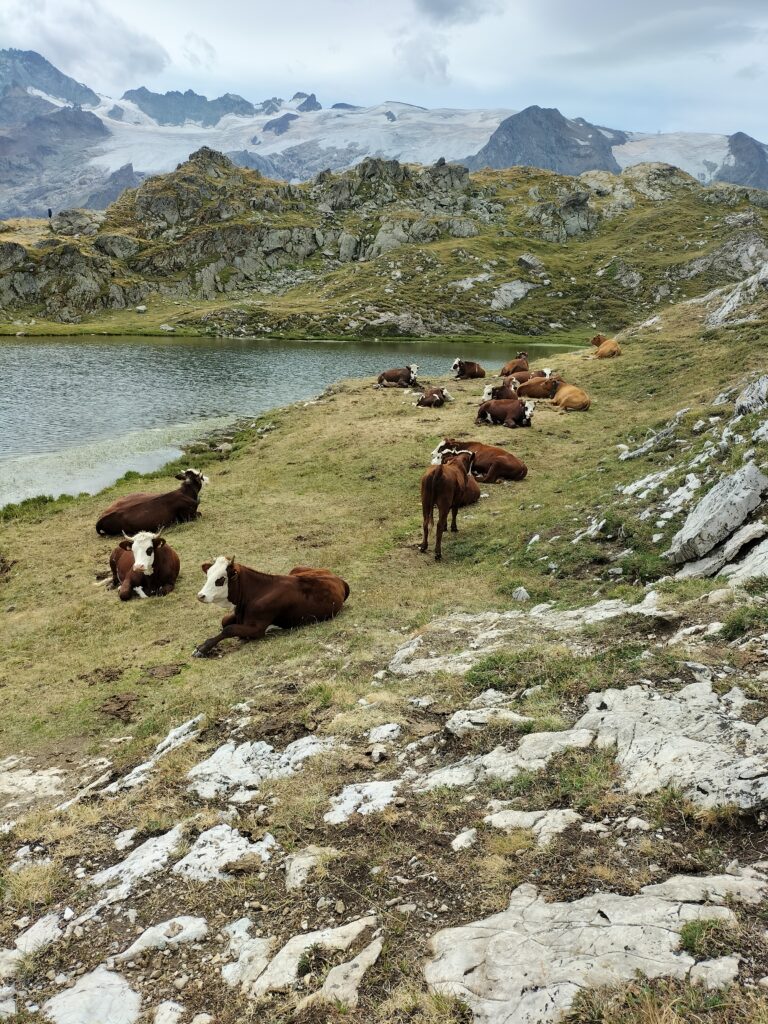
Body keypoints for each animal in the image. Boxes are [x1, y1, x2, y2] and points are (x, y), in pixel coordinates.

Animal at [193, 559, 350, 657]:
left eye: (220, 579)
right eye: (208, 576)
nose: (201, 595)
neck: (256, 592)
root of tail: (339, 579)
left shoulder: (257, 629)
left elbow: (229, 629)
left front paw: (203, 648)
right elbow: (225, 621)